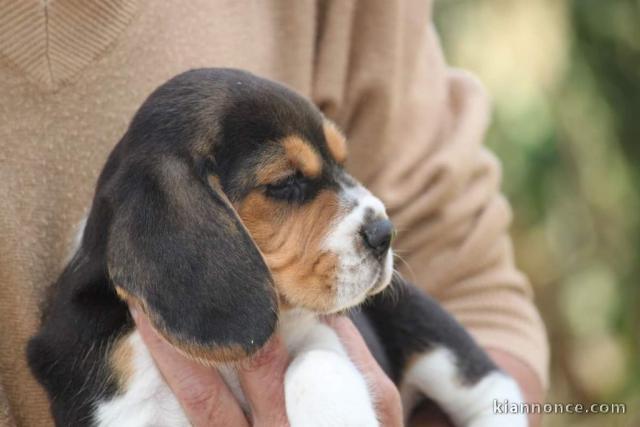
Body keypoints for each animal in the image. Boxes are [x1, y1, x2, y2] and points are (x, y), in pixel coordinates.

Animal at [27, 68, 528, 426]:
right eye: (286, 184)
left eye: (342, 162)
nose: (385, 233)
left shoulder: (326, 336)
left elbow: (315, 366)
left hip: (424, 328)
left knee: (490, 387)